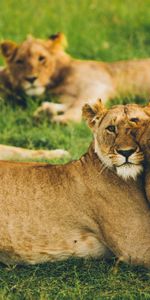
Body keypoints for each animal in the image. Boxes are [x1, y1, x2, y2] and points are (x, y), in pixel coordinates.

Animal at [0, 32, 150, 122]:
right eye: (19, 61)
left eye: (41, 58)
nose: (30, 79)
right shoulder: (66, 96)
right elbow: (71, 104)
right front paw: (46, 111)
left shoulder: (97, 84)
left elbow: (79, 104)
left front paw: (63, 120)